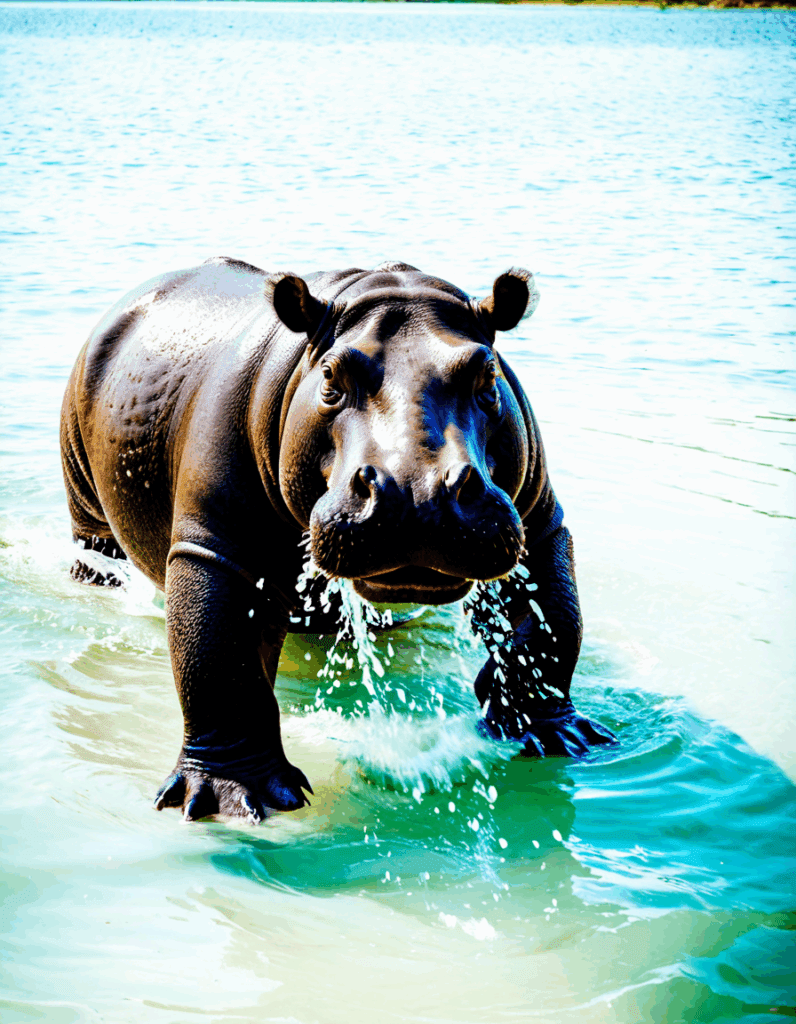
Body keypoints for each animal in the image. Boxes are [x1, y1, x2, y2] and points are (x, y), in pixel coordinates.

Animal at [60, 257, 615, 823]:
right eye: (329, 377)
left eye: (488, 376)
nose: (418, 495)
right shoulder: (218, 548)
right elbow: (219, 659)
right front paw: (233, 799)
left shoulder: (537, 524)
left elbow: (550, 625)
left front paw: (558, 736)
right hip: (86, 494)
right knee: (97, 549)